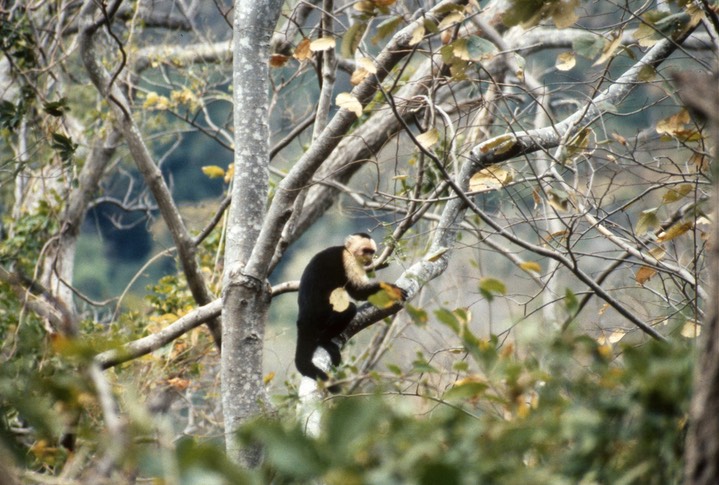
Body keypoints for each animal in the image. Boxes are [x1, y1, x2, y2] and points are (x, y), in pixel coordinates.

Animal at [296, 233, 408, 380]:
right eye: (365, 250)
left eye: (371, 251)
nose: (369, 258)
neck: (347, 250)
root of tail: (303, 318)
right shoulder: (349, 261)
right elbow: (358, 292)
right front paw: (392, 290)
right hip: (321, 315)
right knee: (349, 310)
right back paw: (324, 341)